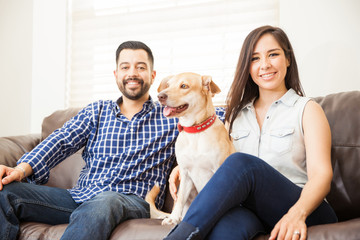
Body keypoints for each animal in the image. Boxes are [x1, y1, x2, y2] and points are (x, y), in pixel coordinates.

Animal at [145, 72, 235, 225]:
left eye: (184, 86)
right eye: (168, 85)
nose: (160, 96)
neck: (195, 132)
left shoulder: (219, 171)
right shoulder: (185, 174)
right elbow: (181, 199)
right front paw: (173, 218)